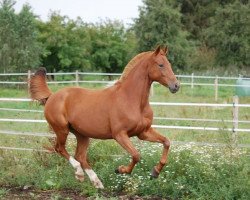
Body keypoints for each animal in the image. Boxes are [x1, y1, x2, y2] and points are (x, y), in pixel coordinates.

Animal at [29, 45, 180, 189]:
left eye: (169, 64)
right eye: (160, 64)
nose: (176, 86)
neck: (132, 100)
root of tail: (52, 96)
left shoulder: (143, 132)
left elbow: (166, 142)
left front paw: (155, 172)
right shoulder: (119, 135)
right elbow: (136, 155)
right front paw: (120, 170)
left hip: (82, 135)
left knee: (80, 156)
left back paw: (97, 182)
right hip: (62, 130)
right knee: (60, 149)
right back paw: (79, 174)